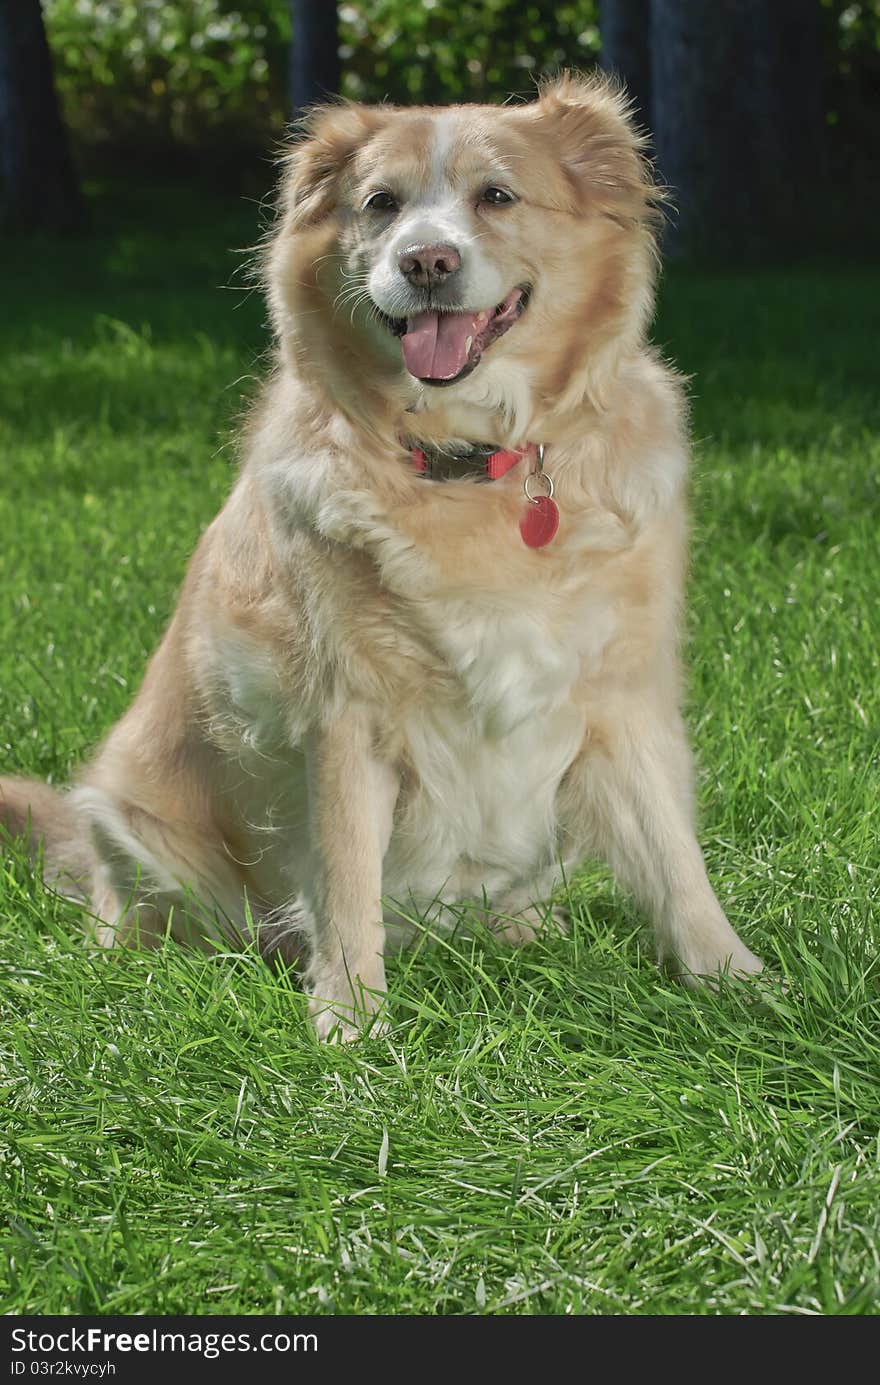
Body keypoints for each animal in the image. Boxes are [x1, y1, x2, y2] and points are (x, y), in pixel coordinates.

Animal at [0, 70, 759, 1035]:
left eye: (497, 196)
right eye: (381, 204)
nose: (424, 261)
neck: (468, 465)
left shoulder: (623, 697)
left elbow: (675, 856)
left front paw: (740, 983)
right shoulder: (343, 718)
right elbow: (347, 879)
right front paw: (350, 1028)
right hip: (137, 829)